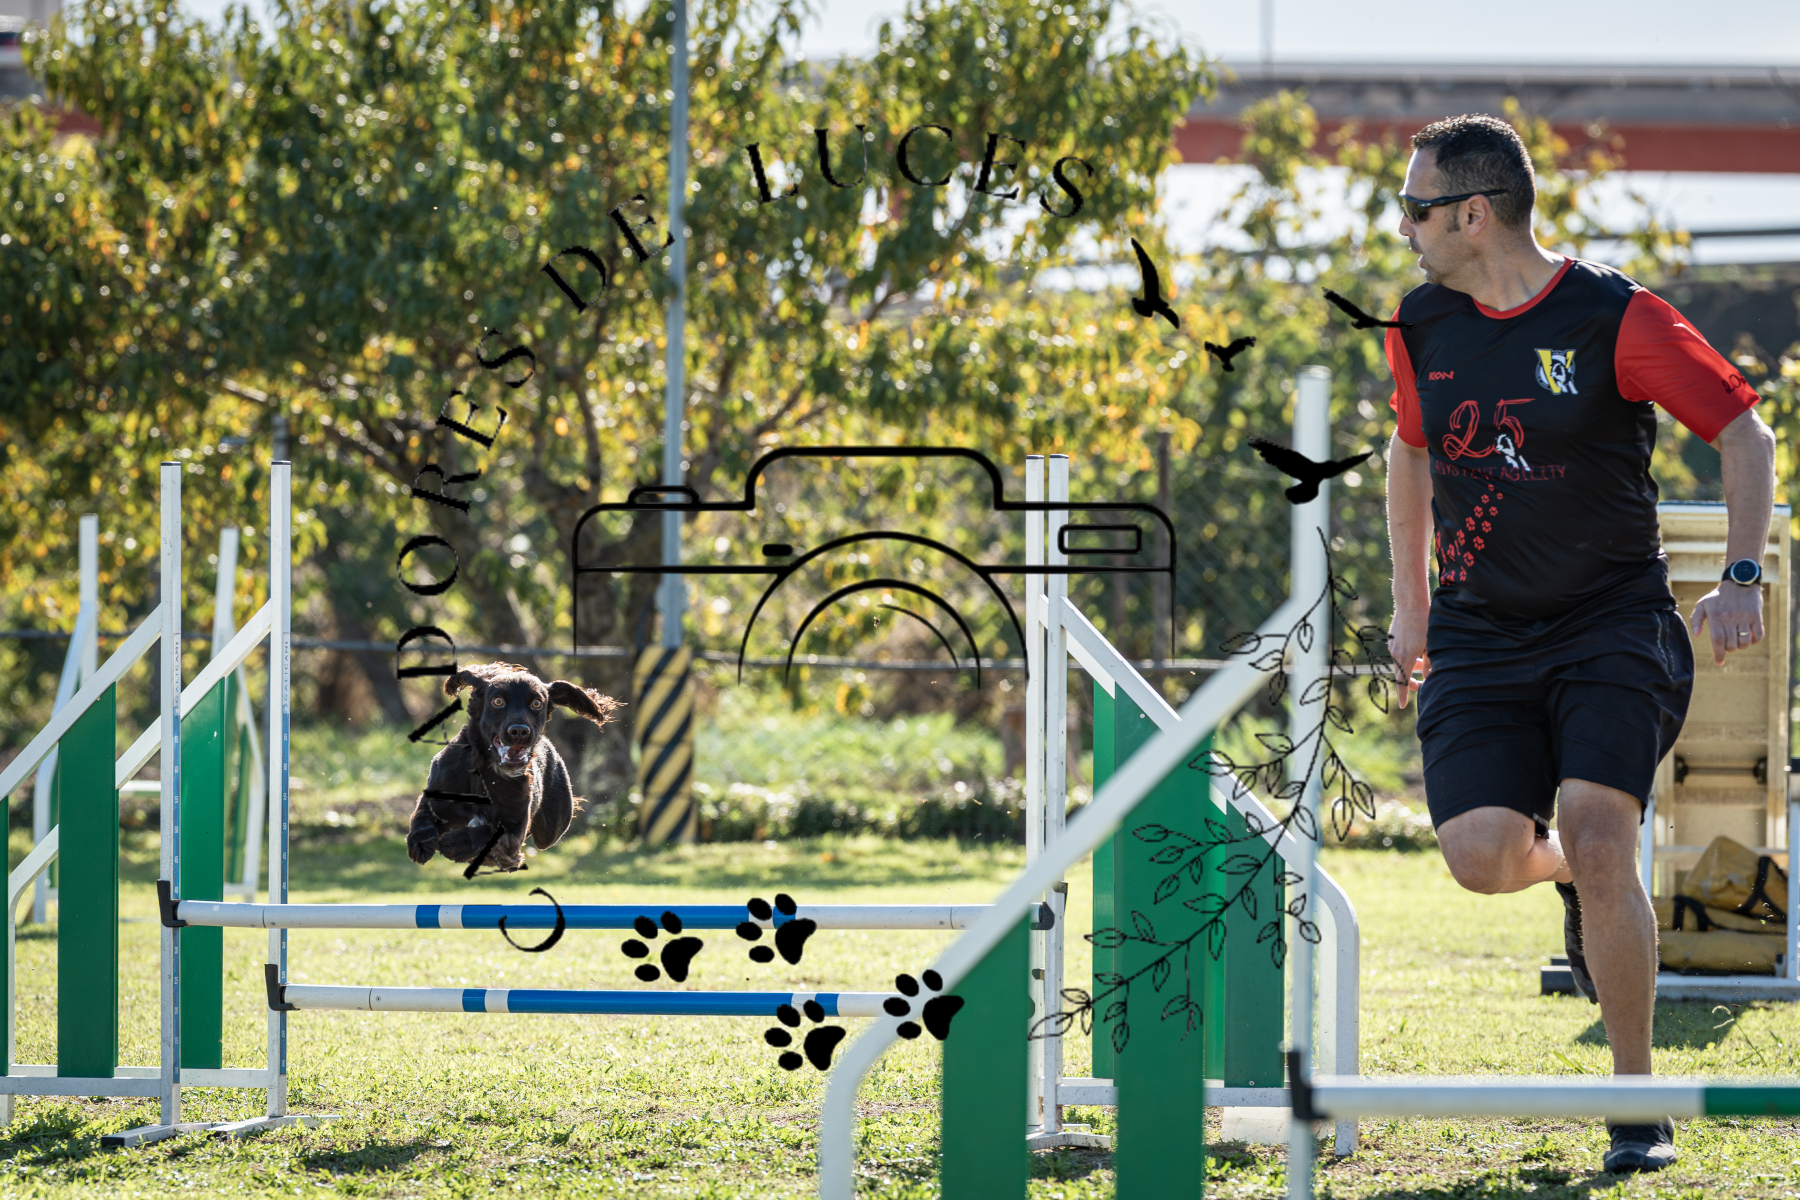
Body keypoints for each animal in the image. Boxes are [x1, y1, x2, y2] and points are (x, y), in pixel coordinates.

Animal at [406, 662, 619, 873]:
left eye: (537, 703)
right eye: (498, 701)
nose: (519, 731)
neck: (484, 773)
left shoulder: (516, 826)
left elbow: (492, 831)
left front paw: (458, 842)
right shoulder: (435, 794)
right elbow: (421, 816)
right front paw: (421, 842)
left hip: (551, 828)